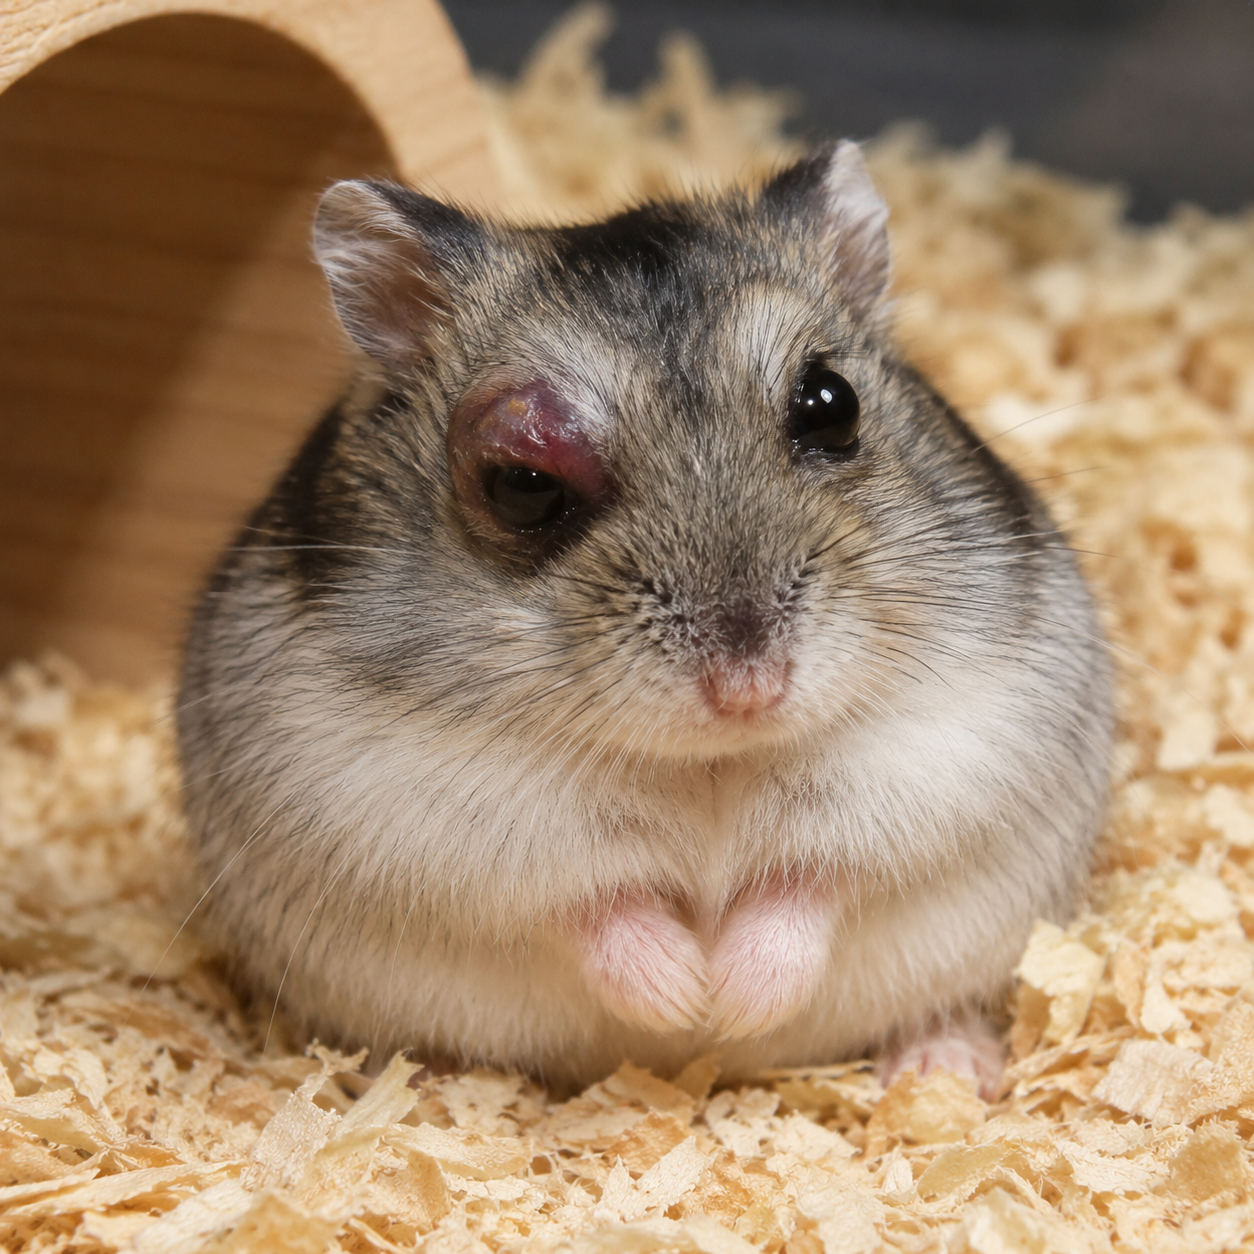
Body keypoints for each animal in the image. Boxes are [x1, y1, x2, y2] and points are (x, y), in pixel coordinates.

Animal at [177, 141, 1112, 1096]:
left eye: (831, 403)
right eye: (523, 483)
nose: (749, 688)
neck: (708, 764)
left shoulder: (941, 756)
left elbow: (814, 881)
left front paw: (728, 1006)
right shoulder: (432, 820)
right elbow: (594, 904)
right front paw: (684, 1000)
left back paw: (940, 1072)